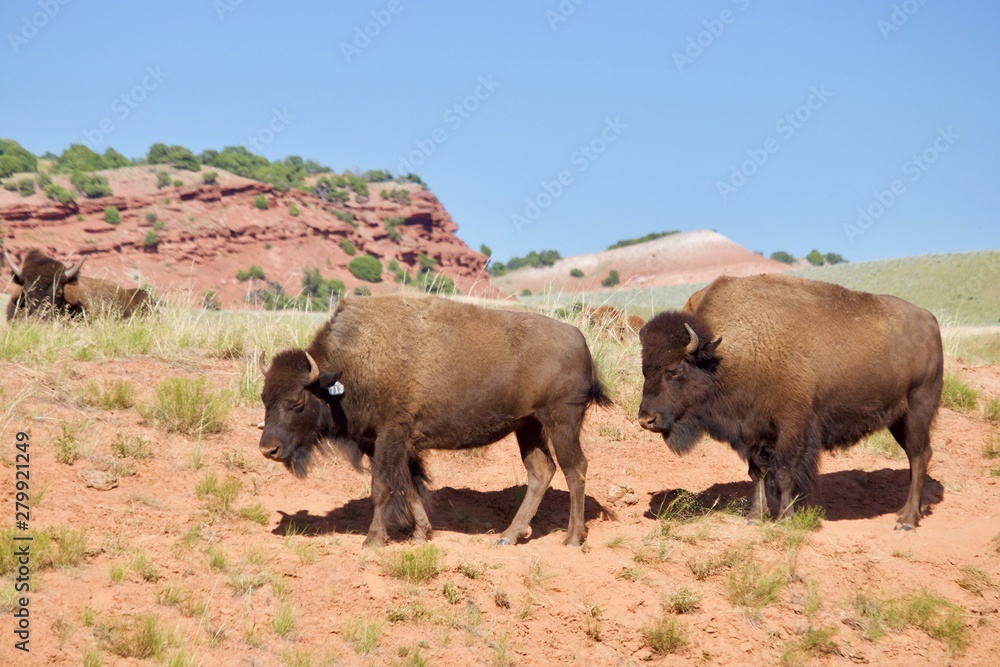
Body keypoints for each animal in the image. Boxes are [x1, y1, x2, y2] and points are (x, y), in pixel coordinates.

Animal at [260, 296, 608, 548]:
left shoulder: (390, 437)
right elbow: (410, 488)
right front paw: (420, 534)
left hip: (561, 422)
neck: (347, 369)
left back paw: (572, 538)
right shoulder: (390, 445)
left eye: (297, 401)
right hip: (528, 426)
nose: (268, 449)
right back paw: (509, 536)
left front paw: (373, 540)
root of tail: (580, 340)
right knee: (541, 471)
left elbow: (382, 487)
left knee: (575, 469)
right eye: (264, 397)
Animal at [636, 274, 940, 528]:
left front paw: (786, 518)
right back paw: (907, 513)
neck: (726, 354)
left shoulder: (791, 427)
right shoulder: (752, 432)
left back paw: (906, 520)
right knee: (916, 457)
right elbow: (757, 473)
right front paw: (755, 517)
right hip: (898, 418)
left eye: (675, 369)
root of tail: (930, 320)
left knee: (919, 455)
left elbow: (783, 473)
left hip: (918, 407)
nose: (646, 419)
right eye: (644, 369)